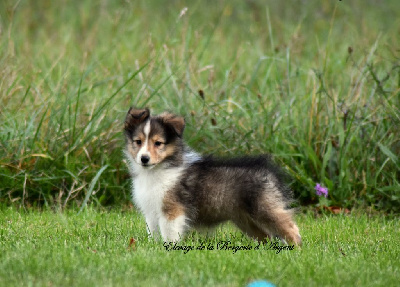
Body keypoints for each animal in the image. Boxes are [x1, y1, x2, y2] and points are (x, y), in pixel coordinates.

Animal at [123, 108, 302, 248]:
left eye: (158, 143)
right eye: (138, 141)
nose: (144, 159)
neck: (155, 172)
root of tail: (269, 171)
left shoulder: (172, 210)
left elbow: (169, 233)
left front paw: (168, 249)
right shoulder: (151, 211)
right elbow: (153, 232)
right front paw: (154, 247)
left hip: (265, 209)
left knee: (291, 228)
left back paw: (296, 250)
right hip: (246, 220)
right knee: (266, 237)